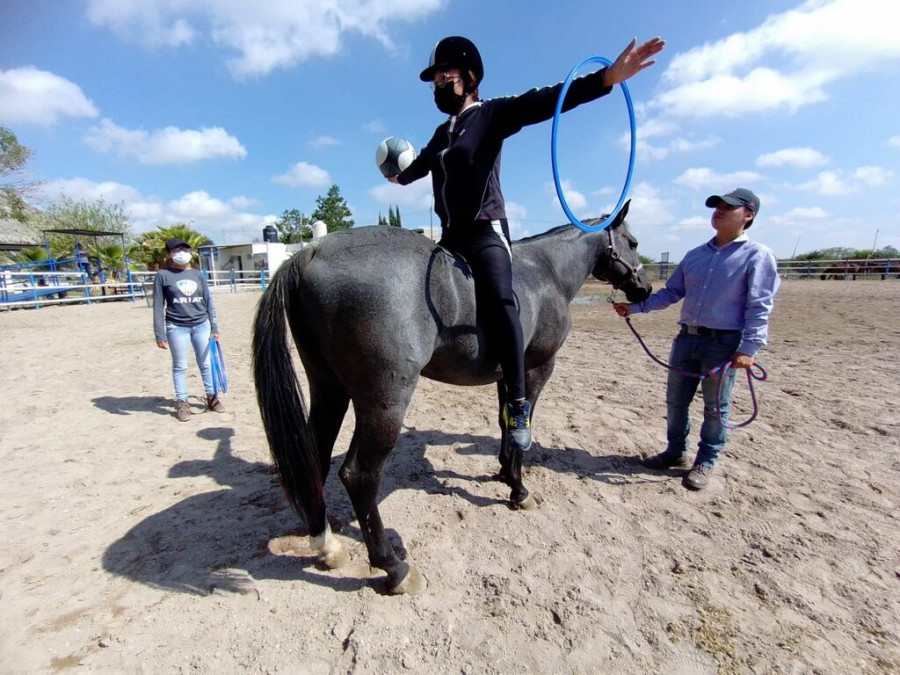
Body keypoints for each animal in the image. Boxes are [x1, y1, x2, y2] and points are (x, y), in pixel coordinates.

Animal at [253, 202, 652, 596]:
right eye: (633, 242)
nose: (645, 288)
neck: (546, 270)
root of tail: (312, 251)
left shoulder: (507, 376)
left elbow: (506, 422)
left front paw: (504, 473)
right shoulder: (536, 370)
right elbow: (522, 426)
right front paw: (519, 490)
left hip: (328, 389)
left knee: (314, 458)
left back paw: (326, 546)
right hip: (384, 403)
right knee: (359, 476)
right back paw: (395, 568)